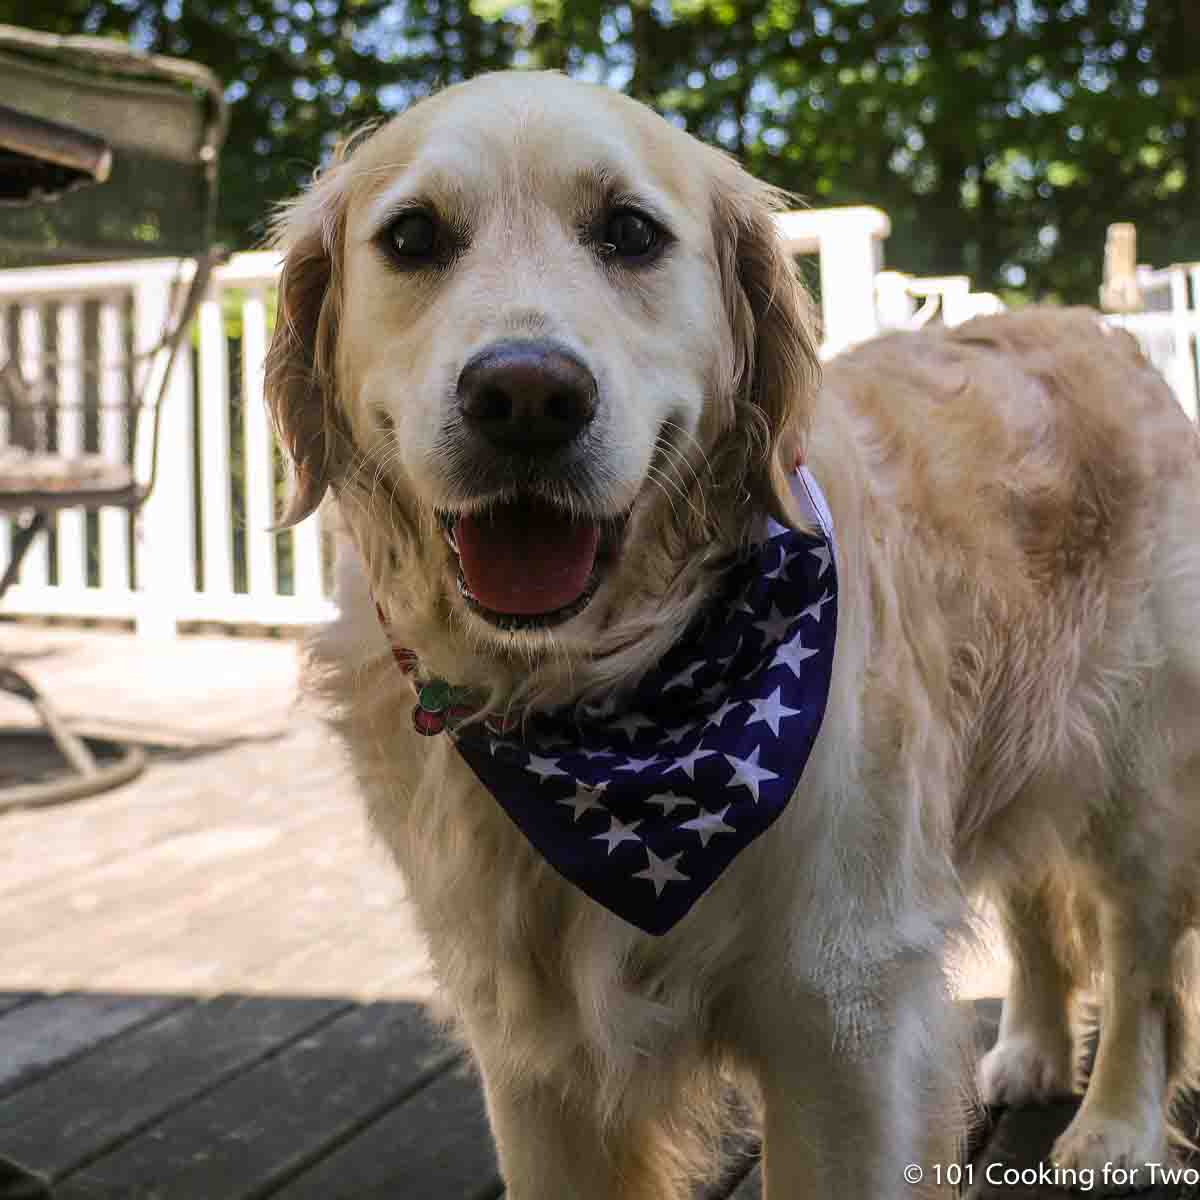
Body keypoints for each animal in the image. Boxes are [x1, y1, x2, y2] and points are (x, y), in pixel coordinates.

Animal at [265, 70, 1200, 1195]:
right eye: (411, 237)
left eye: (629, 232)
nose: (525, 394)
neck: (600, 710)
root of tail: (1103, 334)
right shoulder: (530, 1054)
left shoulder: (843, 1020)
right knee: (1034, 901)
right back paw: (1030, 1049)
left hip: (1140, 774)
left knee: (1141, 963)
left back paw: (1114, 1126)